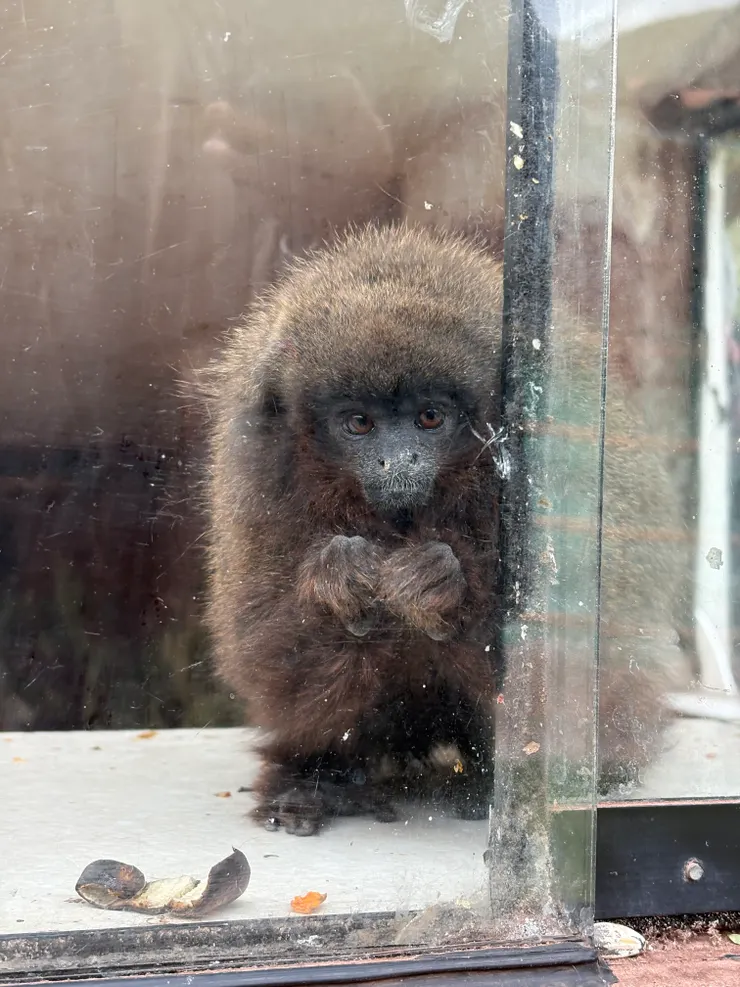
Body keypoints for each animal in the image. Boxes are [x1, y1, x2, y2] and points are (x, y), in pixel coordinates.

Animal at [204, 223, 690, 836]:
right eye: (359, 423)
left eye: (429, 417)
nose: (399, 461)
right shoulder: (261, 467)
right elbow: (259, 642)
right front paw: (337, 575)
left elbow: (579, 643)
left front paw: (440, 580)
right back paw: (309, 784)